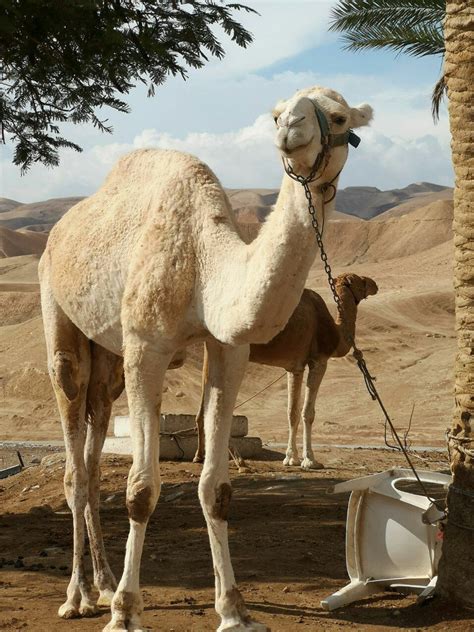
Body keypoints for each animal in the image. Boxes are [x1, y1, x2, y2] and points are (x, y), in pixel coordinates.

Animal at [193, 272, 378, 470]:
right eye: (361, 281)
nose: (375, 285)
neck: (335, 333)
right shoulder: (319, 361)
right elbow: (308, 412)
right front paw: (310, 460)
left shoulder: (294, 367)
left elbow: (292, 412)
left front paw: (291, 458)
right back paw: (240, 462)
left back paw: (200, 456)